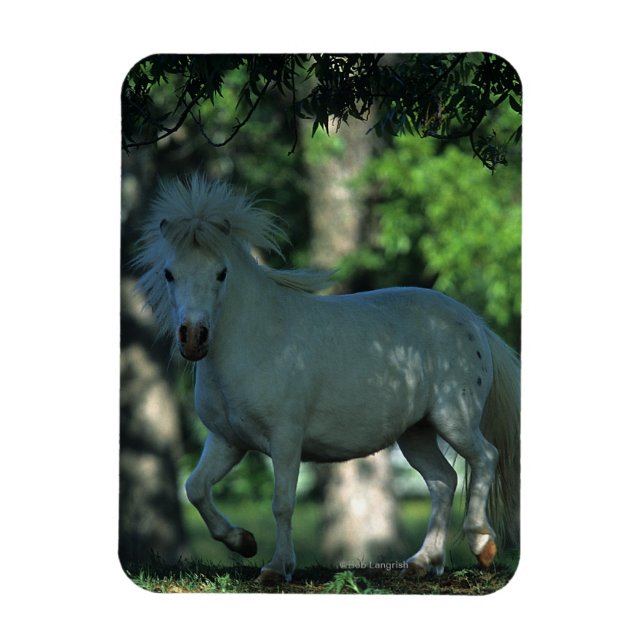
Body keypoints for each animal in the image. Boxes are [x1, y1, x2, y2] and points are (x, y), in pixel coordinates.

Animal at [133, 173, 520, 585]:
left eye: (221, 273)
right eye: (169, 273)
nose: (193, 337)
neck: (257, 339)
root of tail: (473, 322)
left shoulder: (285, 439)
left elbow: (282, 503)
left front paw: (277, 568)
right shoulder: (228, 441)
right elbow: (195, 488)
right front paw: (243, 542)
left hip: (454, 419)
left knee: (484, 458)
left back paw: (482, 544)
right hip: (416, 433)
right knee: (443, 481)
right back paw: (421, 562)